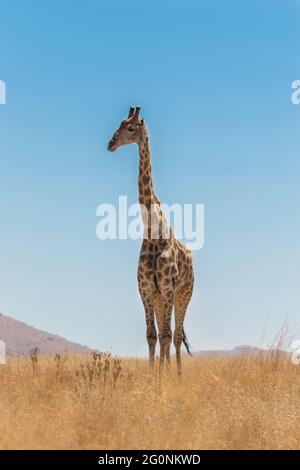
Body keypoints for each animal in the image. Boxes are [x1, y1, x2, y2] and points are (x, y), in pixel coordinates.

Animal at [108, 105, 195, 374]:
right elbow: (151, 336)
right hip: (161, 297)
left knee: (176, 336)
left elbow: (166, 336)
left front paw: (164, 379)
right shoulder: (146, 289)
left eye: (131, 128)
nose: (110, 144)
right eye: (118, 124)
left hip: (183, 293)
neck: (153, 232)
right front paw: (152, 377)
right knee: (167, 334)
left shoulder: (167, 287)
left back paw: (177, 375)